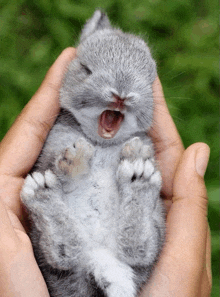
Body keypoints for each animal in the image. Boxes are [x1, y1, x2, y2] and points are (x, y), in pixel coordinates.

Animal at [21, 9, 165, 296]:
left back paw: (139, 177)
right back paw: (42, 193)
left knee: (139, 250)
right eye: (85, 70)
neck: (101, 143)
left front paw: (136, 151)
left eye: (149, 80)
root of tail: (102, 262)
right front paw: (75, 158)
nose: (121, 95)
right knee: (63, 254)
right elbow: (57, 164)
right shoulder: (50, 151)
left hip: (156, 230)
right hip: (43, 246)